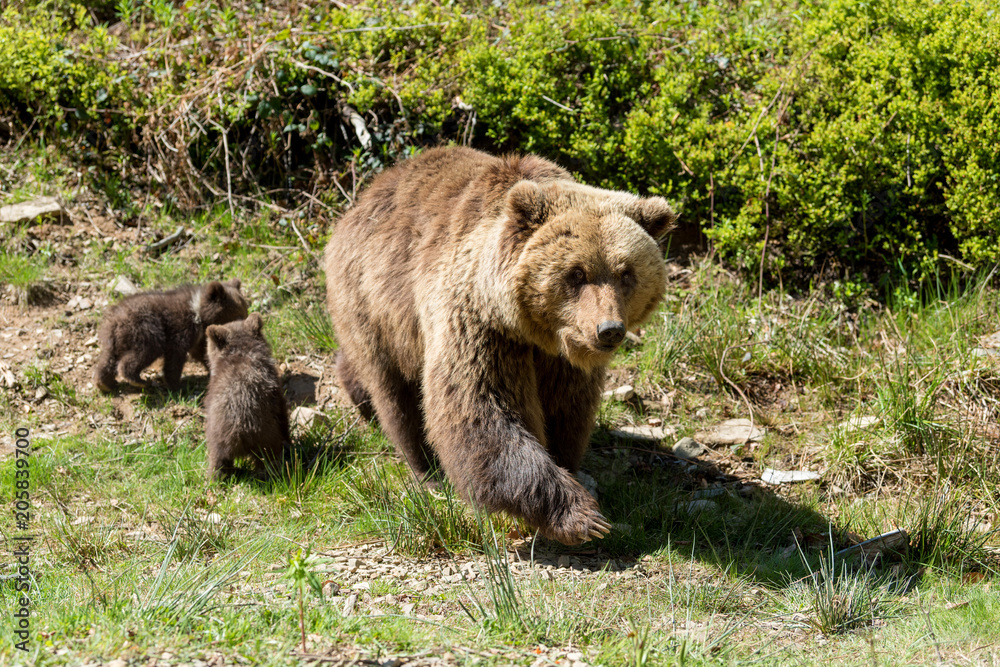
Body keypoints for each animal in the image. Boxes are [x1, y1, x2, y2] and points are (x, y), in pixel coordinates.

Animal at [324, 146, 676, 544]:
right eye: (576, 273)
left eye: (626, 273)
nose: (609, 329)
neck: (537, 332)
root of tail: (363, 197)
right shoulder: (480, 325)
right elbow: (481, 408)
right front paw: (581, 516)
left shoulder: (561, 362)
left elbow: (567, 410)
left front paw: (568, 466)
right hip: (375, 305)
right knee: (395, 393)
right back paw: (425, 468)